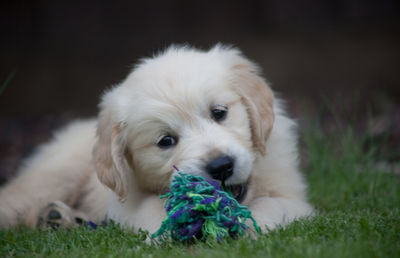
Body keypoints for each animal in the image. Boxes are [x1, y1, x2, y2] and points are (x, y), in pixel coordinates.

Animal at [0, 44, 312, 234]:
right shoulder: (126, 205)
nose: (221, 166)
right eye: (165, 141)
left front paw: (249, 227)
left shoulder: (294, 197)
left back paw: (61, 219)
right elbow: (150, 209)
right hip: (53, 176)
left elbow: (272, 205)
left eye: (219, 113)